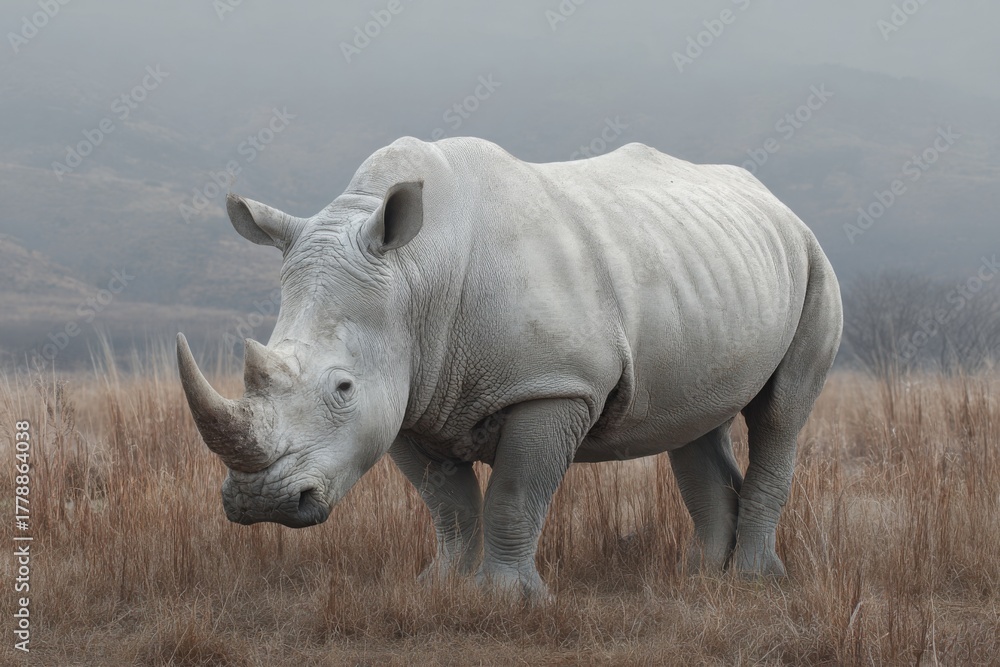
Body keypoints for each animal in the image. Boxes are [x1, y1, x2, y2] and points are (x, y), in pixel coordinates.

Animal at [177, 136, 842, 599]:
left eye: (342, 387)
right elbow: (449, 504)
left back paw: (753, 581)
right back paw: (703, 580)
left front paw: (505, 599)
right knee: (695, 424)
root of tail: (779, 205)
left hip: (813, 261)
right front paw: (440, 587)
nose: (261, 502)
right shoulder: (409, 394)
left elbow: (515, 494)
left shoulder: (554, 385)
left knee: (781, 415)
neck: (415, 274)